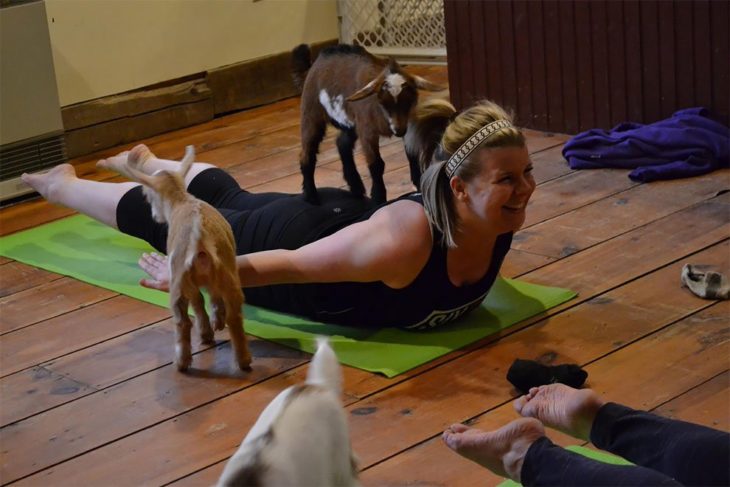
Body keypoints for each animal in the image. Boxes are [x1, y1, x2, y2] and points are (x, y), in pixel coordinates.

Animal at [121, 147, 250, 372]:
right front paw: (216, 321)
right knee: (234, 317)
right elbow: (213, 299)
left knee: (183, 321)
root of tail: (200, 238)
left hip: (179, 283)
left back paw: (183, 360)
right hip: (228, 278)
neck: (181, 199)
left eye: (148, 196)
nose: (155, 217)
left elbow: (198, 303)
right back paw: (243, 360)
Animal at [292, 44, 440, 205]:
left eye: (408, 101)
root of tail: (314, 64)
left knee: (342, 144)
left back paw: (356, 187)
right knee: (307, 153)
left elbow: (411, 154)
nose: (398, 131)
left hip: (350, 123)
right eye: (384, 102)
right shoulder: (367, 131)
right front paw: (378, 197)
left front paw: (419, 184)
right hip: (311, 114)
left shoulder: (407, 125)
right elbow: (376, 165)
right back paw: (311, 195)